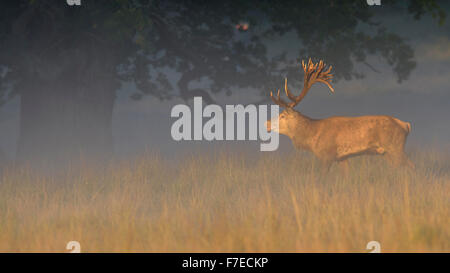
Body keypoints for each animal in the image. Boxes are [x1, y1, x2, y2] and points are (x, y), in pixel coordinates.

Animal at [264, 58, 414, 172]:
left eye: (282, 115)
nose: (266, 123)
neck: (312, 135)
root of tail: (406, 125)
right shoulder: (342, 158)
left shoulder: (326, 155)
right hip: (387, 152)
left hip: (395, 147)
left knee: (411, 165)